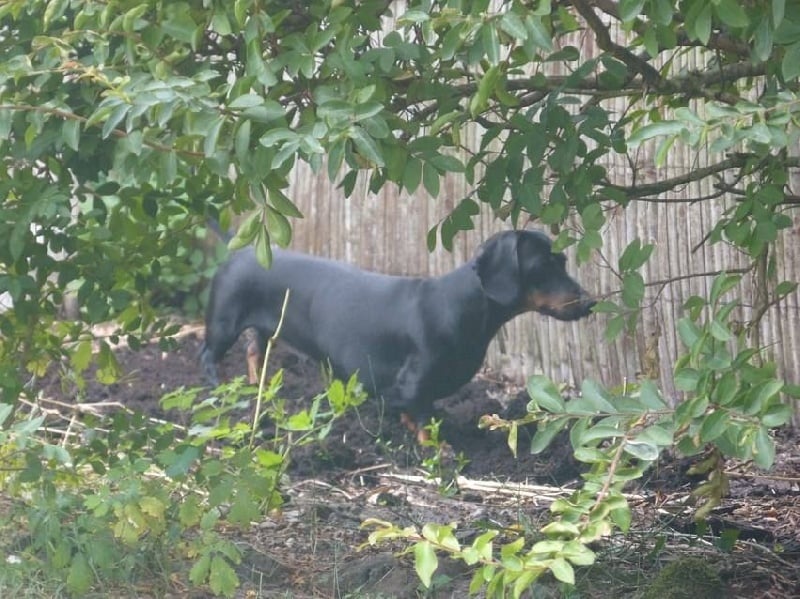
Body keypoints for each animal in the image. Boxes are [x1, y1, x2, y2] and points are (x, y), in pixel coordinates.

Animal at [200, 229, 595, 435]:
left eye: (563, 261)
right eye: (542, 266)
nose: (591, 303)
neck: (459, 305)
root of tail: (240, 250)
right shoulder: (415, 382)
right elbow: (420, 418)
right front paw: (437, 449)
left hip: (263, 329)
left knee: (254, 351)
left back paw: (257, 387)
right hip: (223, 324)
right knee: (207, 356)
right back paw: (218, 389)